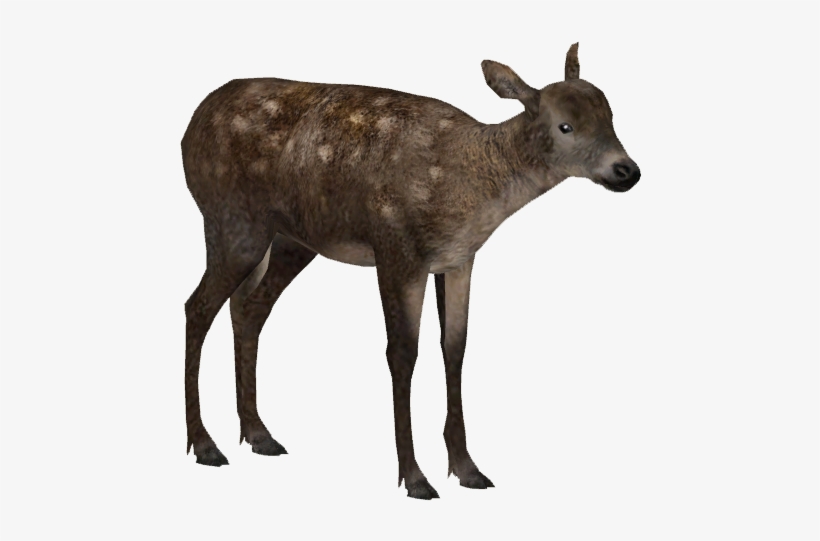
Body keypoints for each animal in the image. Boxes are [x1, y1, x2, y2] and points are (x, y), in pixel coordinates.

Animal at [181, 43, 641, 500]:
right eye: (565, 126)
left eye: (610, 116)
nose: (627, 171)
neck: (474, 191)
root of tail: (190, 127)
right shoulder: (397, 250)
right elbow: (402, 353)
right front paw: (415, 477)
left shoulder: (458, 259)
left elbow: (454, 347)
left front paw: (467, 468)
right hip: (230, 218)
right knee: (197, 307)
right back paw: (205, 445)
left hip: (292, 239)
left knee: (248, 307)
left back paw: (258, 434)